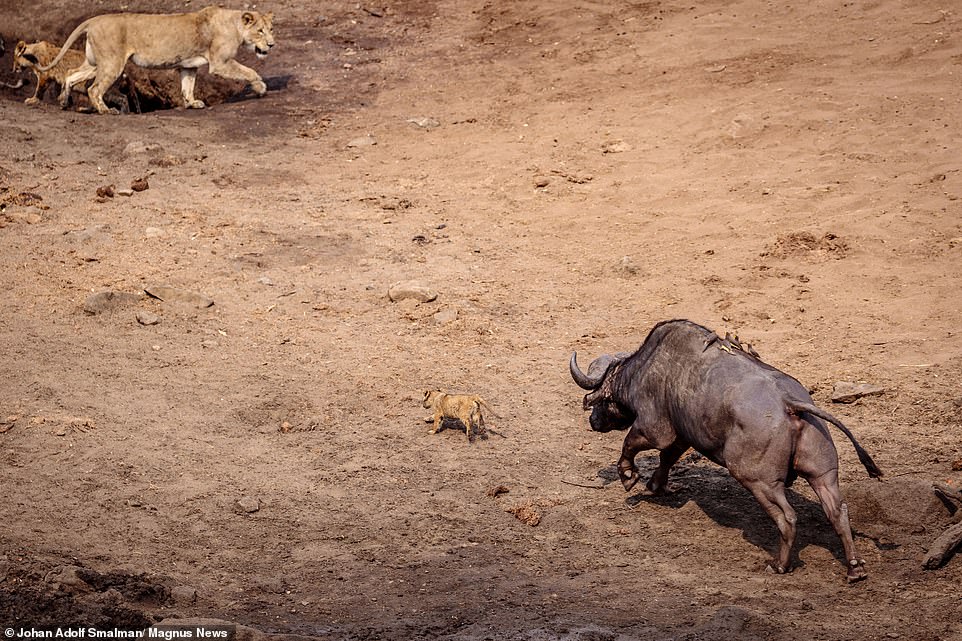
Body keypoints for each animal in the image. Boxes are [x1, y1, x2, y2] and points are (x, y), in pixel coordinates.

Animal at [568, 318, 880, 580]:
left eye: (600, 402)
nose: (593, 421)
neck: (642, 368)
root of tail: (789, 404)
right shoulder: (683, 436)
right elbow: (667, 459)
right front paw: (657, 486)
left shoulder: (655, 429)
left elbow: (632, 444)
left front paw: (628, 476)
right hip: (823, 476)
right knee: (838, 512)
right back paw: (854, 568)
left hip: (758, 481)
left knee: (788, 517)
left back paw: (779, 565)